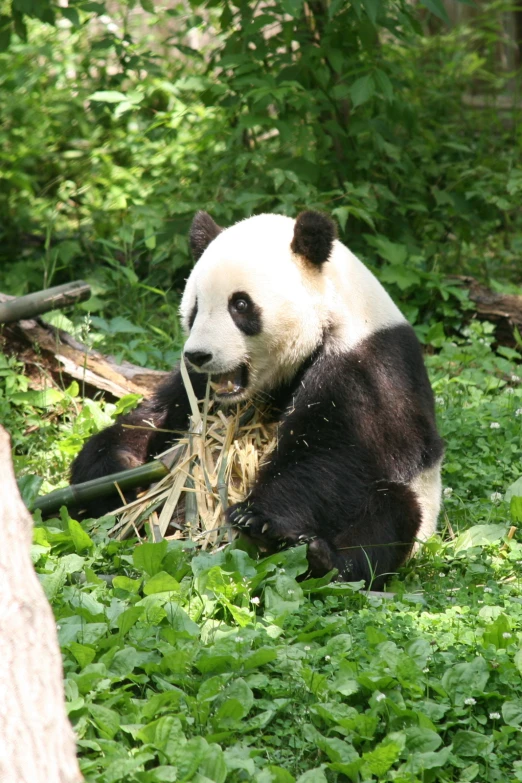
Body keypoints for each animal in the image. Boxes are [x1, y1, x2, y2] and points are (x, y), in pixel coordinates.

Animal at [71, 210, 440, 588]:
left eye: (240, 304)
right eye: (195, 308)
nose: (199, 354)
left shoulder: (367, 365)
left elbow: (337, 451)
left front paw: (258, 518)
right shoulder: (198, 383)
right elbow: (162, 415)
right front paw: (114, 470)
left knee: (391, 513)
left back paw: (324, 559)